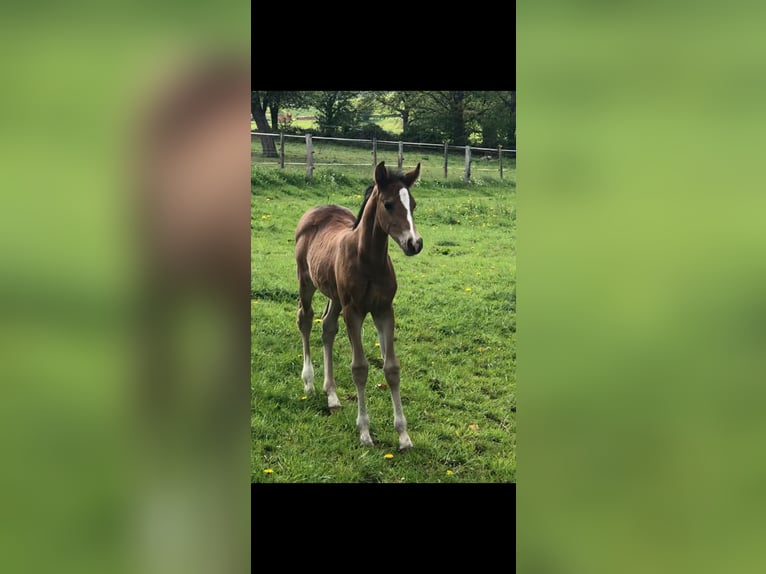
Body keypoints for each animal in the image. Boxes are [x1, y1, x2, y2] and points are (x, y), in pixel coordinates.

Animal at [296, 161, 426, 450]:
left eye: (413, 204)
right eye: (388, 204)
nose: (414, 243)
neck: (369, 260)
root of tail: (317, 210)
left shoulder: (384, 310)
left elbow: (391, 368)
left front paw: (403, 435)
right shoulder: (353, 311)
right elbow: (360, 368)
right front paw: (365, 432)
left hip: (335, 296)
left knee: (327, 327)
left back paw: (332, 395)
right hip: (306, 281)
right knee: (306, 319)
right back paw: (309, 382)